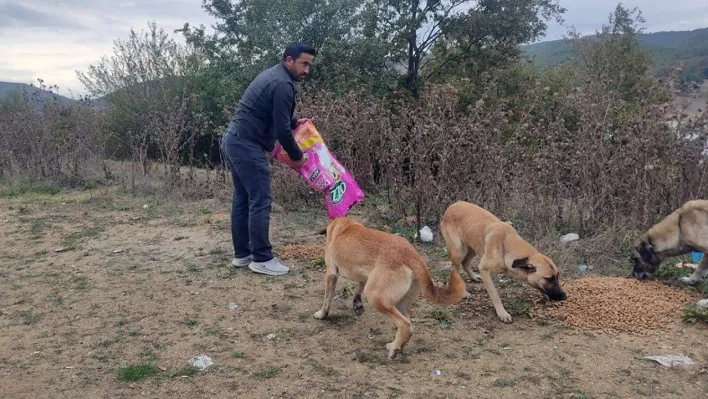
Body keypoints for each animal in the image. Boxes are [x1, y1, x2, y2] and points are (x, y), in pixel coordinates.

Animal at [314, 217, 468, 360]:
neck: (346, 224)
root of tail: (413, 256)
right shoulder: (365, 278)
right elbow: (358, 289)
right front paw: (357, 305)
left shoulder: (331, 274)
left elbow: (327, 300)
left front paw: (322, 314)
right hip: (399, 303)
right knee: (410, 326)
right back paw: (398, 346)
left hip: (375, 297)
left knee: (404, 324)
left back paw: (394, 349)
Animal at [440, 202, 568, 324]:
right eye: (549, 279)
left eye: (557, 277)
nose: (565, 297)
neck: (506, 247)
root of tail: (452, 206)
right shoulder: (484, 269)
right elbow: (495, 296)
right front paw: (502, 313)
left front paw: (546, 296)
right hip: (458, 251)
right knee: (454, 270)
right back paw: (464, 292)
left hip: (472, 247)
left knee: (465, 263)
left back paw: (473, 277)